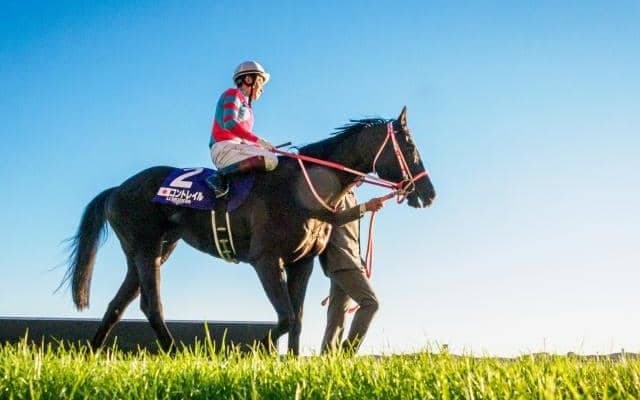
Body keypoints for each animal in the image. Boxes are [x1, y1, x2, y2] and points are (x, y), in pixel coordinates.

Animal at [61, 106, 435, 355]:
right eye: (411, 147)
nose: (429, 193)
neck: (302, 187)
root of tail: (117, 189)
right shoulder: (266, 260)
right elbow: (284, 318)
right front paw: (253, 352)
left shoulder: (302, 263)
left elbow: (297, 319)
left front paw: (291, 363)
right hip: (147, 250)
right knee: (151, 306)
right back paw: (176, 353)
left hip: (151, 252)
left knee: (117, 305)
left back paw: (91, 355)